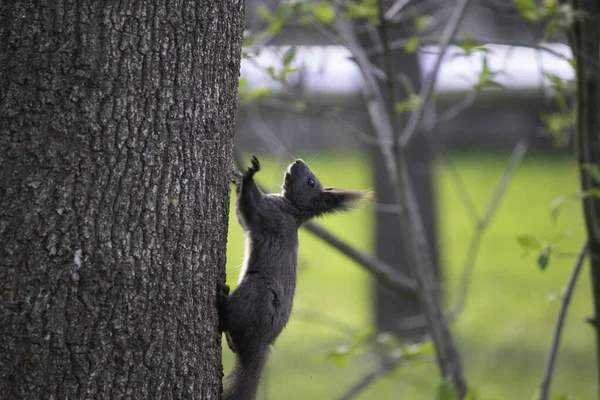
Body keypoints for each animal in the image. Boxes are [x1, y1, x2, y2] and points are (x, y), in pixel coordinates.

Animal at [218, 156, 368, 400]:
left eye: (310, 182)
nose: (298, 161)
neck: (292, 210)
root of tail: (261, 343)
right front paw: (237, 176)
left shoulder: (268, 213)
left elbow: (247, 209)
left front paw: (250, 173)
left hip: (256, 291)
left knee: (230, 322)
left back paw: (222, 301)